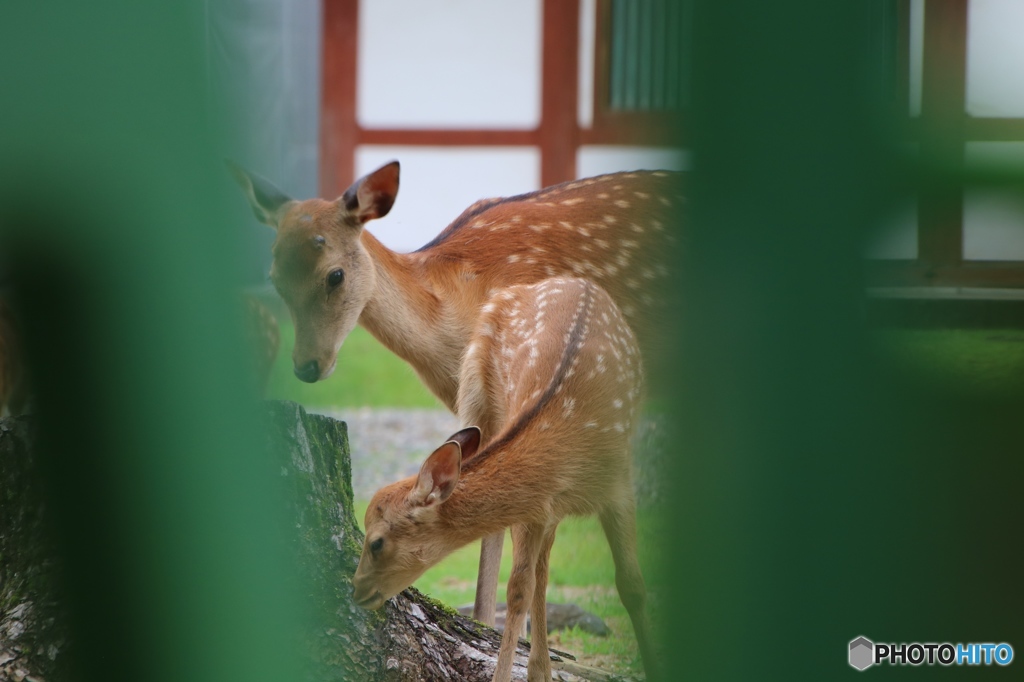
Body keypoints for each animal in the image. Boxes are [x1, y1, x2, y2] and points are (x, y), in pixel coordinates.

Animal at [352, 276, 655, 679]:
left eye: (376, 542)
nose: (355, 590)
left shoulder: (620, 482)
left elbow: (632, 585)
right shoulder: (534, 510)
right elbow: (518, 590)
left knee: (543, 567)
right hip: (474, 391)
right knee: (530, 569)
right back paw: (538, 667)